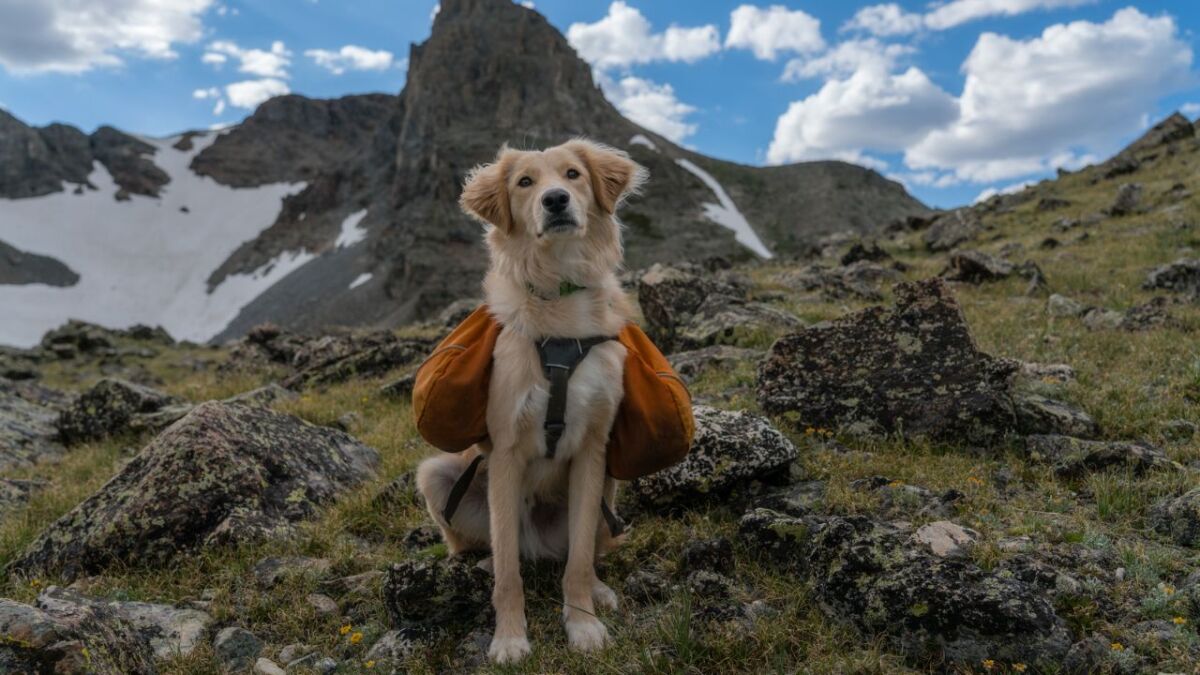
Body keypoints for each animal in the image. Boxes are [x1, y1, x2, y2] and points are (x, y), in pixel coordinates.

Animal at [420, 138, 652, 662]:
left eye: (572, 175)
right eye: (525, 182)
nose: (555, 200)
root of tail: (538, 544)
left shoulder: (592, 450)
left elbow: (580, 561)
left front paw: (583, 624)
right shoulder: (506, 451)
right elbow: (510, 575)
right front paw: (509, 638)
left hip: (609, 487)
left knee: (583, 552)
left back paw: (600, 590)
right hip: (439, 475)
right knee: (493, 550)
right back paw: (483, 565)